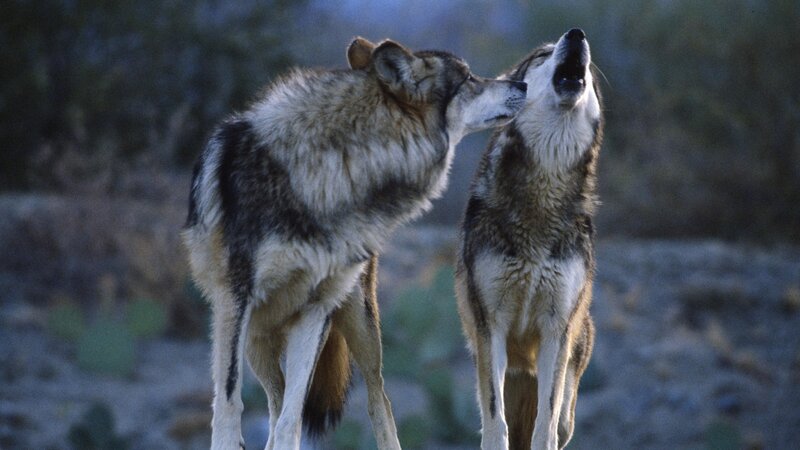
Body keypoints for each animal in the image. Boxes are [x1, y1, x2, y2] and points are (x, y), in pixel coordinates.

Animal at [182, 35, 527, 450]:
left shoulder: (315, 309)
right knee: (273, 402)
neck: (338, 167)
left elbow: (292, 419)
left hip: (359, 326)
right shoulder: (236, 300)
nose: (522, 84)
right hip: (256, 338)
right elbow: (231, 401)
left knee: (377, 401)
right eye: (469, 79)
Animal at [455, 28, 603, 450]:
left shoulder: (557, 328)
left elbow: (546, 419)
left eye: (591, 66)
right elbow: (495, 419)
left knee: (560, 420)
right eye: (542, 56)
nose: (576, 34)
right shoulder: (491, 326)